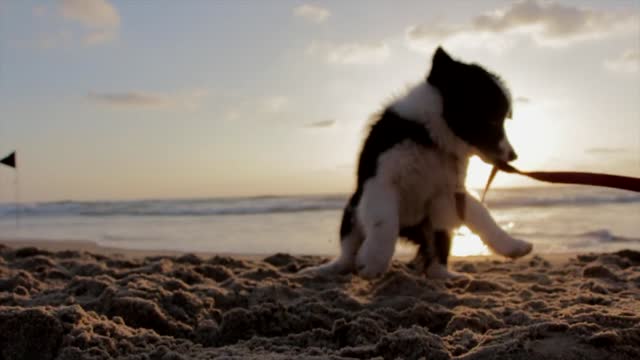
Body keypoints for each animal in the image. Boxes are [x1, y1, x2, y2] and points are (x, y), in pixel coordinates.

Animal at [302, 47, 532, 278]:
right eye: (492, 120)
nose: (513, 156)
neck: (431, 137)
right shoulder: (381, 181)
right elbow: (385, 221)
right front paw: (374, 261)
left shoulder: (449, 192)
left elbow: (482, 214)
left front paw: (512, 244)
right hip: (352, 209)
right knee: (347, 256)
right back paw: (323, 269)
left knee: (437, 255)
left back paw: (451, 274)